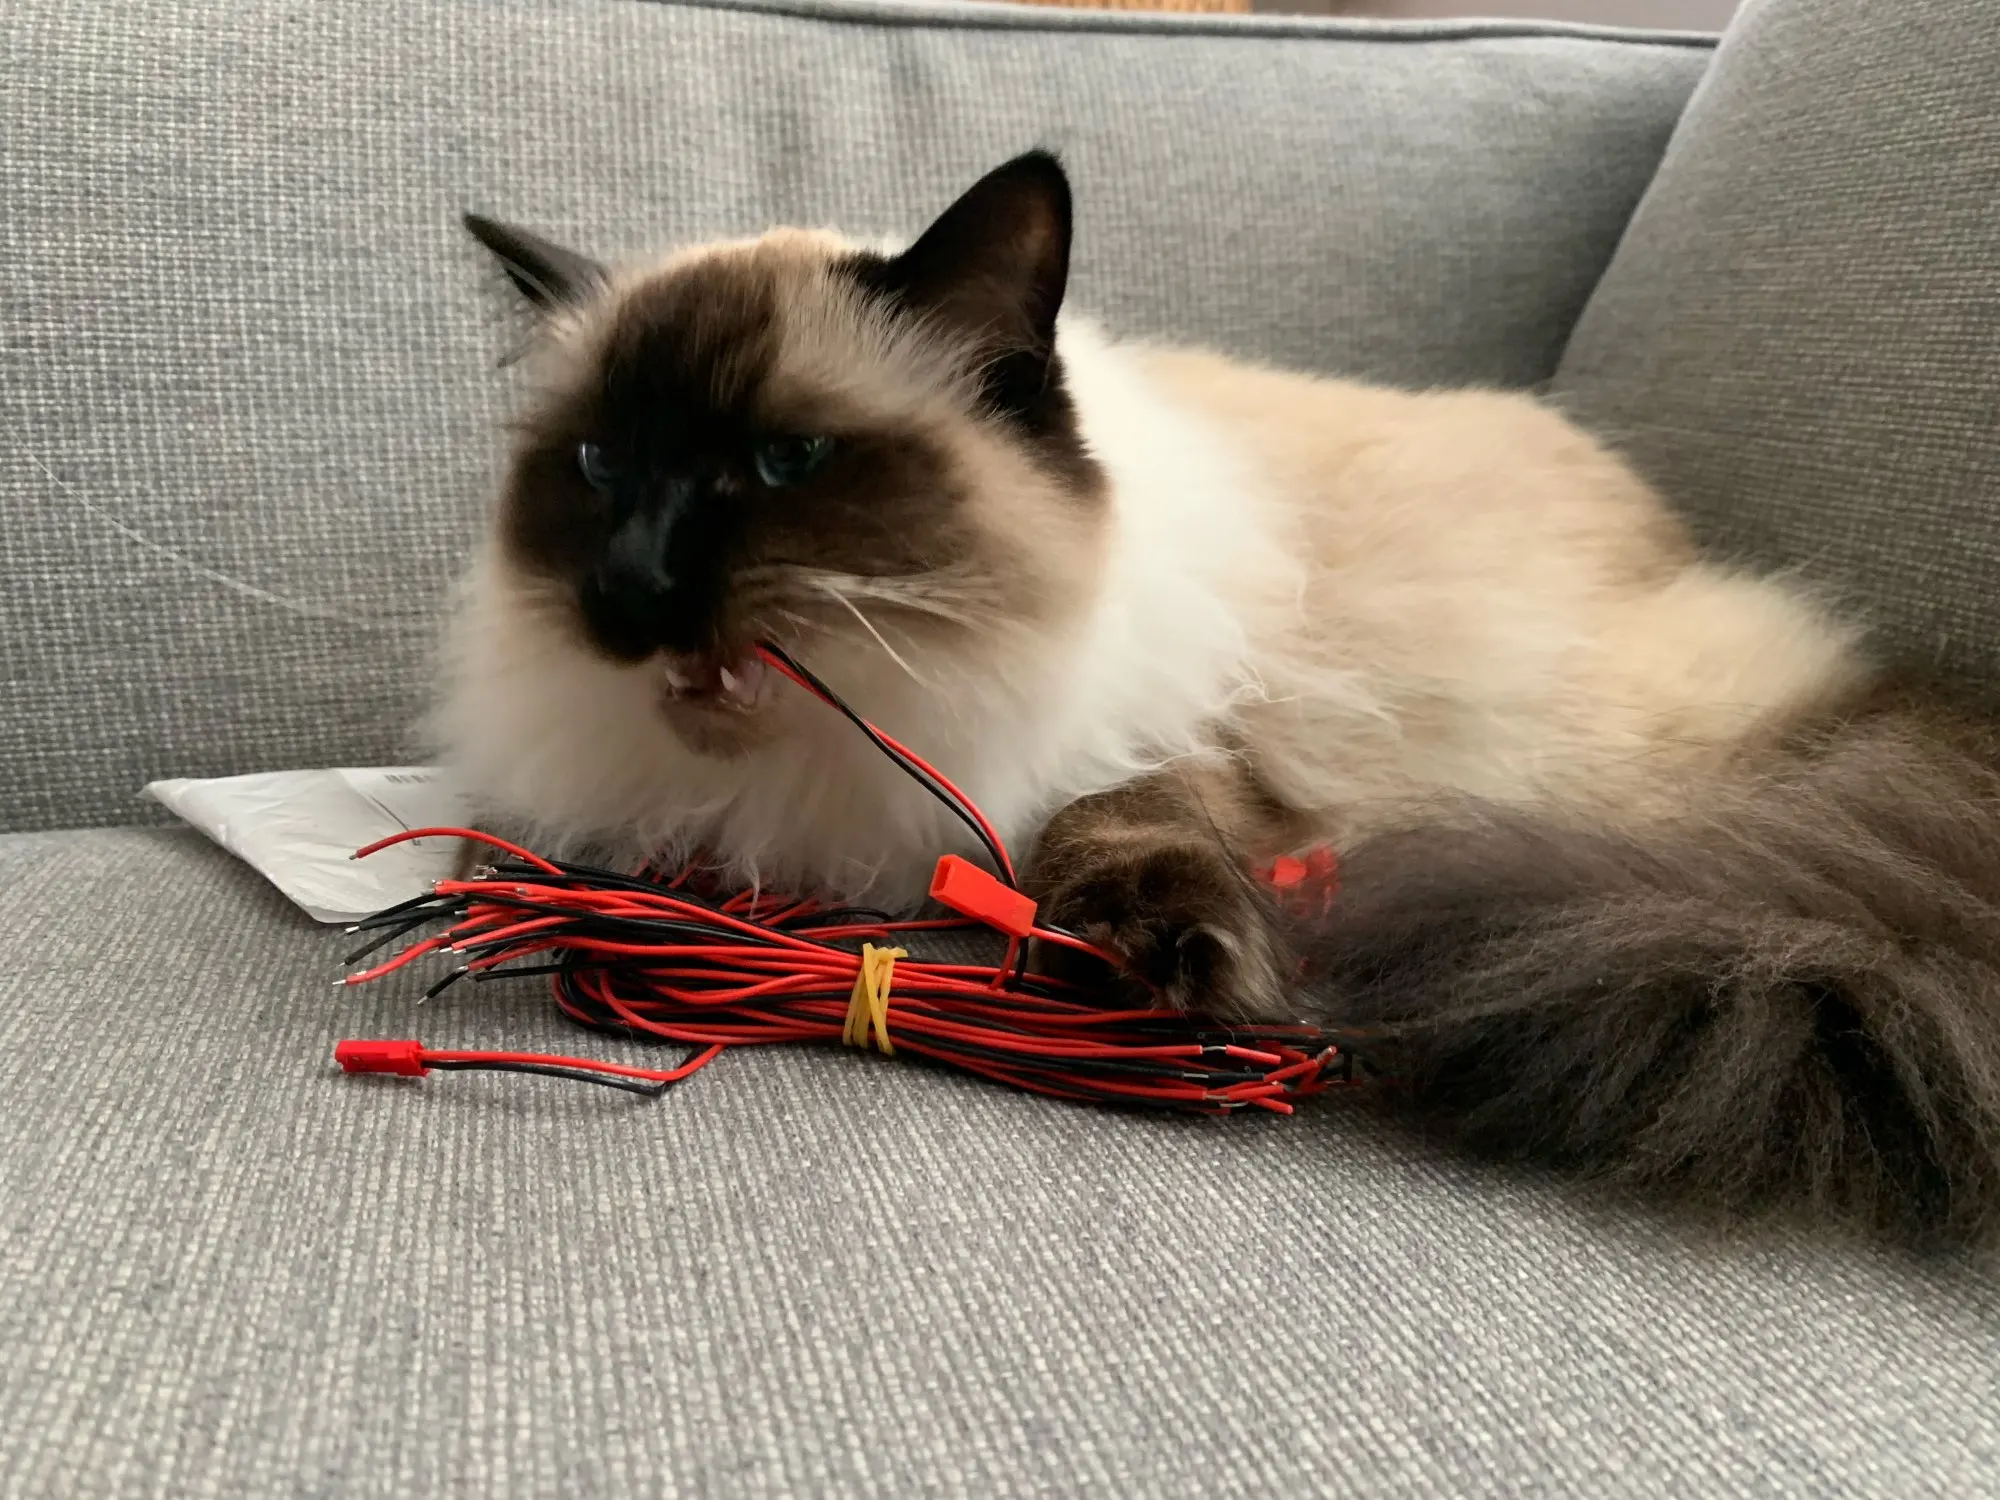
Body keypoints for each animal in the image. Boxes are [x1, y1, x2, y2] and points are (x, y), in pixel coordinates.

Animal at [440, 150, 2000, 1247]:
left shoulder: (1184, 737)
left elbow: (1119, 825)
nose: (626, 593)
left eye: (781, 464)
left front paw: (1172, 969)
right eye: (597, 469)